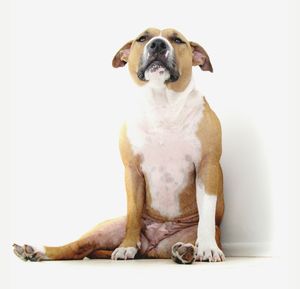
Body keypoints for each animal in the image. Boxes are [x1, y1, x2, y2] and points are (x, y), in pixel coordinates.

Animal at [13, 27, 225, 264]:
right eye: (143, 38)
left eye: (177, 40)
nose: (157, 44)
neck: (162, 104)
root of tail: (151, 248)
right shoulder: (132, 171)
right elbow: (133, 214)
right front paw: (127, 246)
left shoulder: (207, 166)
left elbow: (206, 213)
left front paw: (207, 248)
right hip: (106, 229)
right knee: (77, 247)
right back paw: (37, 250)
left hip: (202, 230)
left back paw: (185, 251)